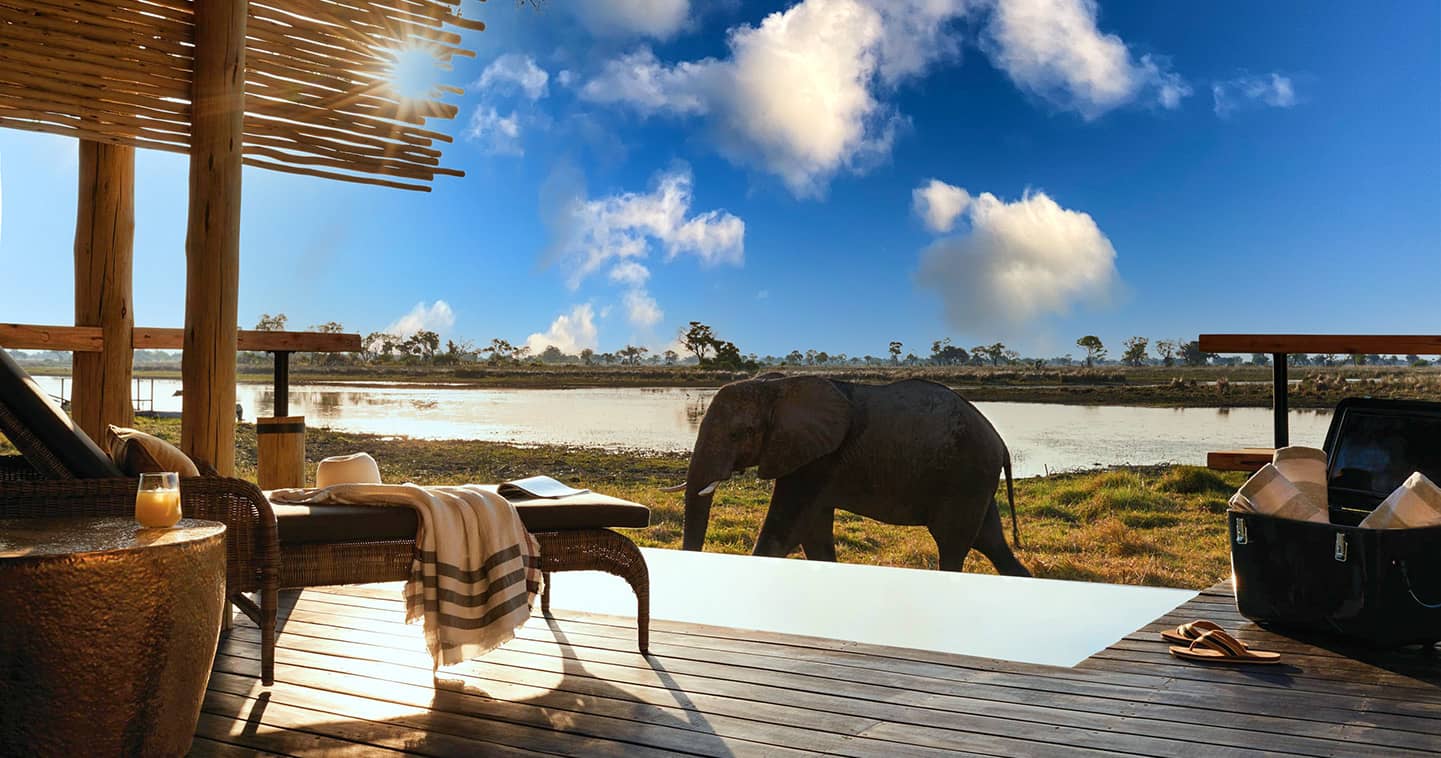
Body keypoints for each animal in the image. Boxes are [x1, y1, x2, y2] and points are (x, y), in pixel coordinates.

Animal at [671, 374, 1025, 576]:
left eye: (737, 434)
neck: (776, 387)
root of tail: (1001, 443)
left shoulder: (819, 458)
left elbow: (784, 532)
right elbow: (813, 536)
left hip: (966, 476)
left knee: (953, 547)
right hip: (974, 481)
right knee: (992, 543)